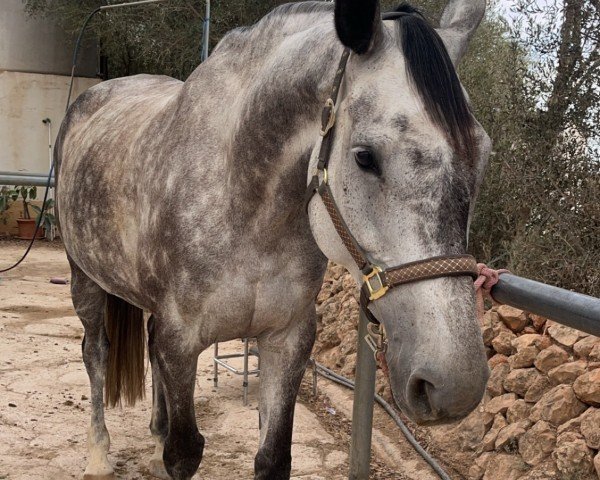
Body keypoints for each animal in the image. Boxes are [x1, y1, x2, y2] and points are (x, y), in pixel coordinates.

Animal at [54, 0, 492, 478]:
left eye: (484, 153)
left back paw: (153, 440)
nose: (455, 384)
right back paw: (99, 454)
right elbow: (184, 452)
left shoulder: (287, 341)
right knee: (95, 353)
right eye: (365, 156)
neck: (244, 202)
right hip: (85, 280)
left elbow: (272, 457)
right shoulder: (181, 341)